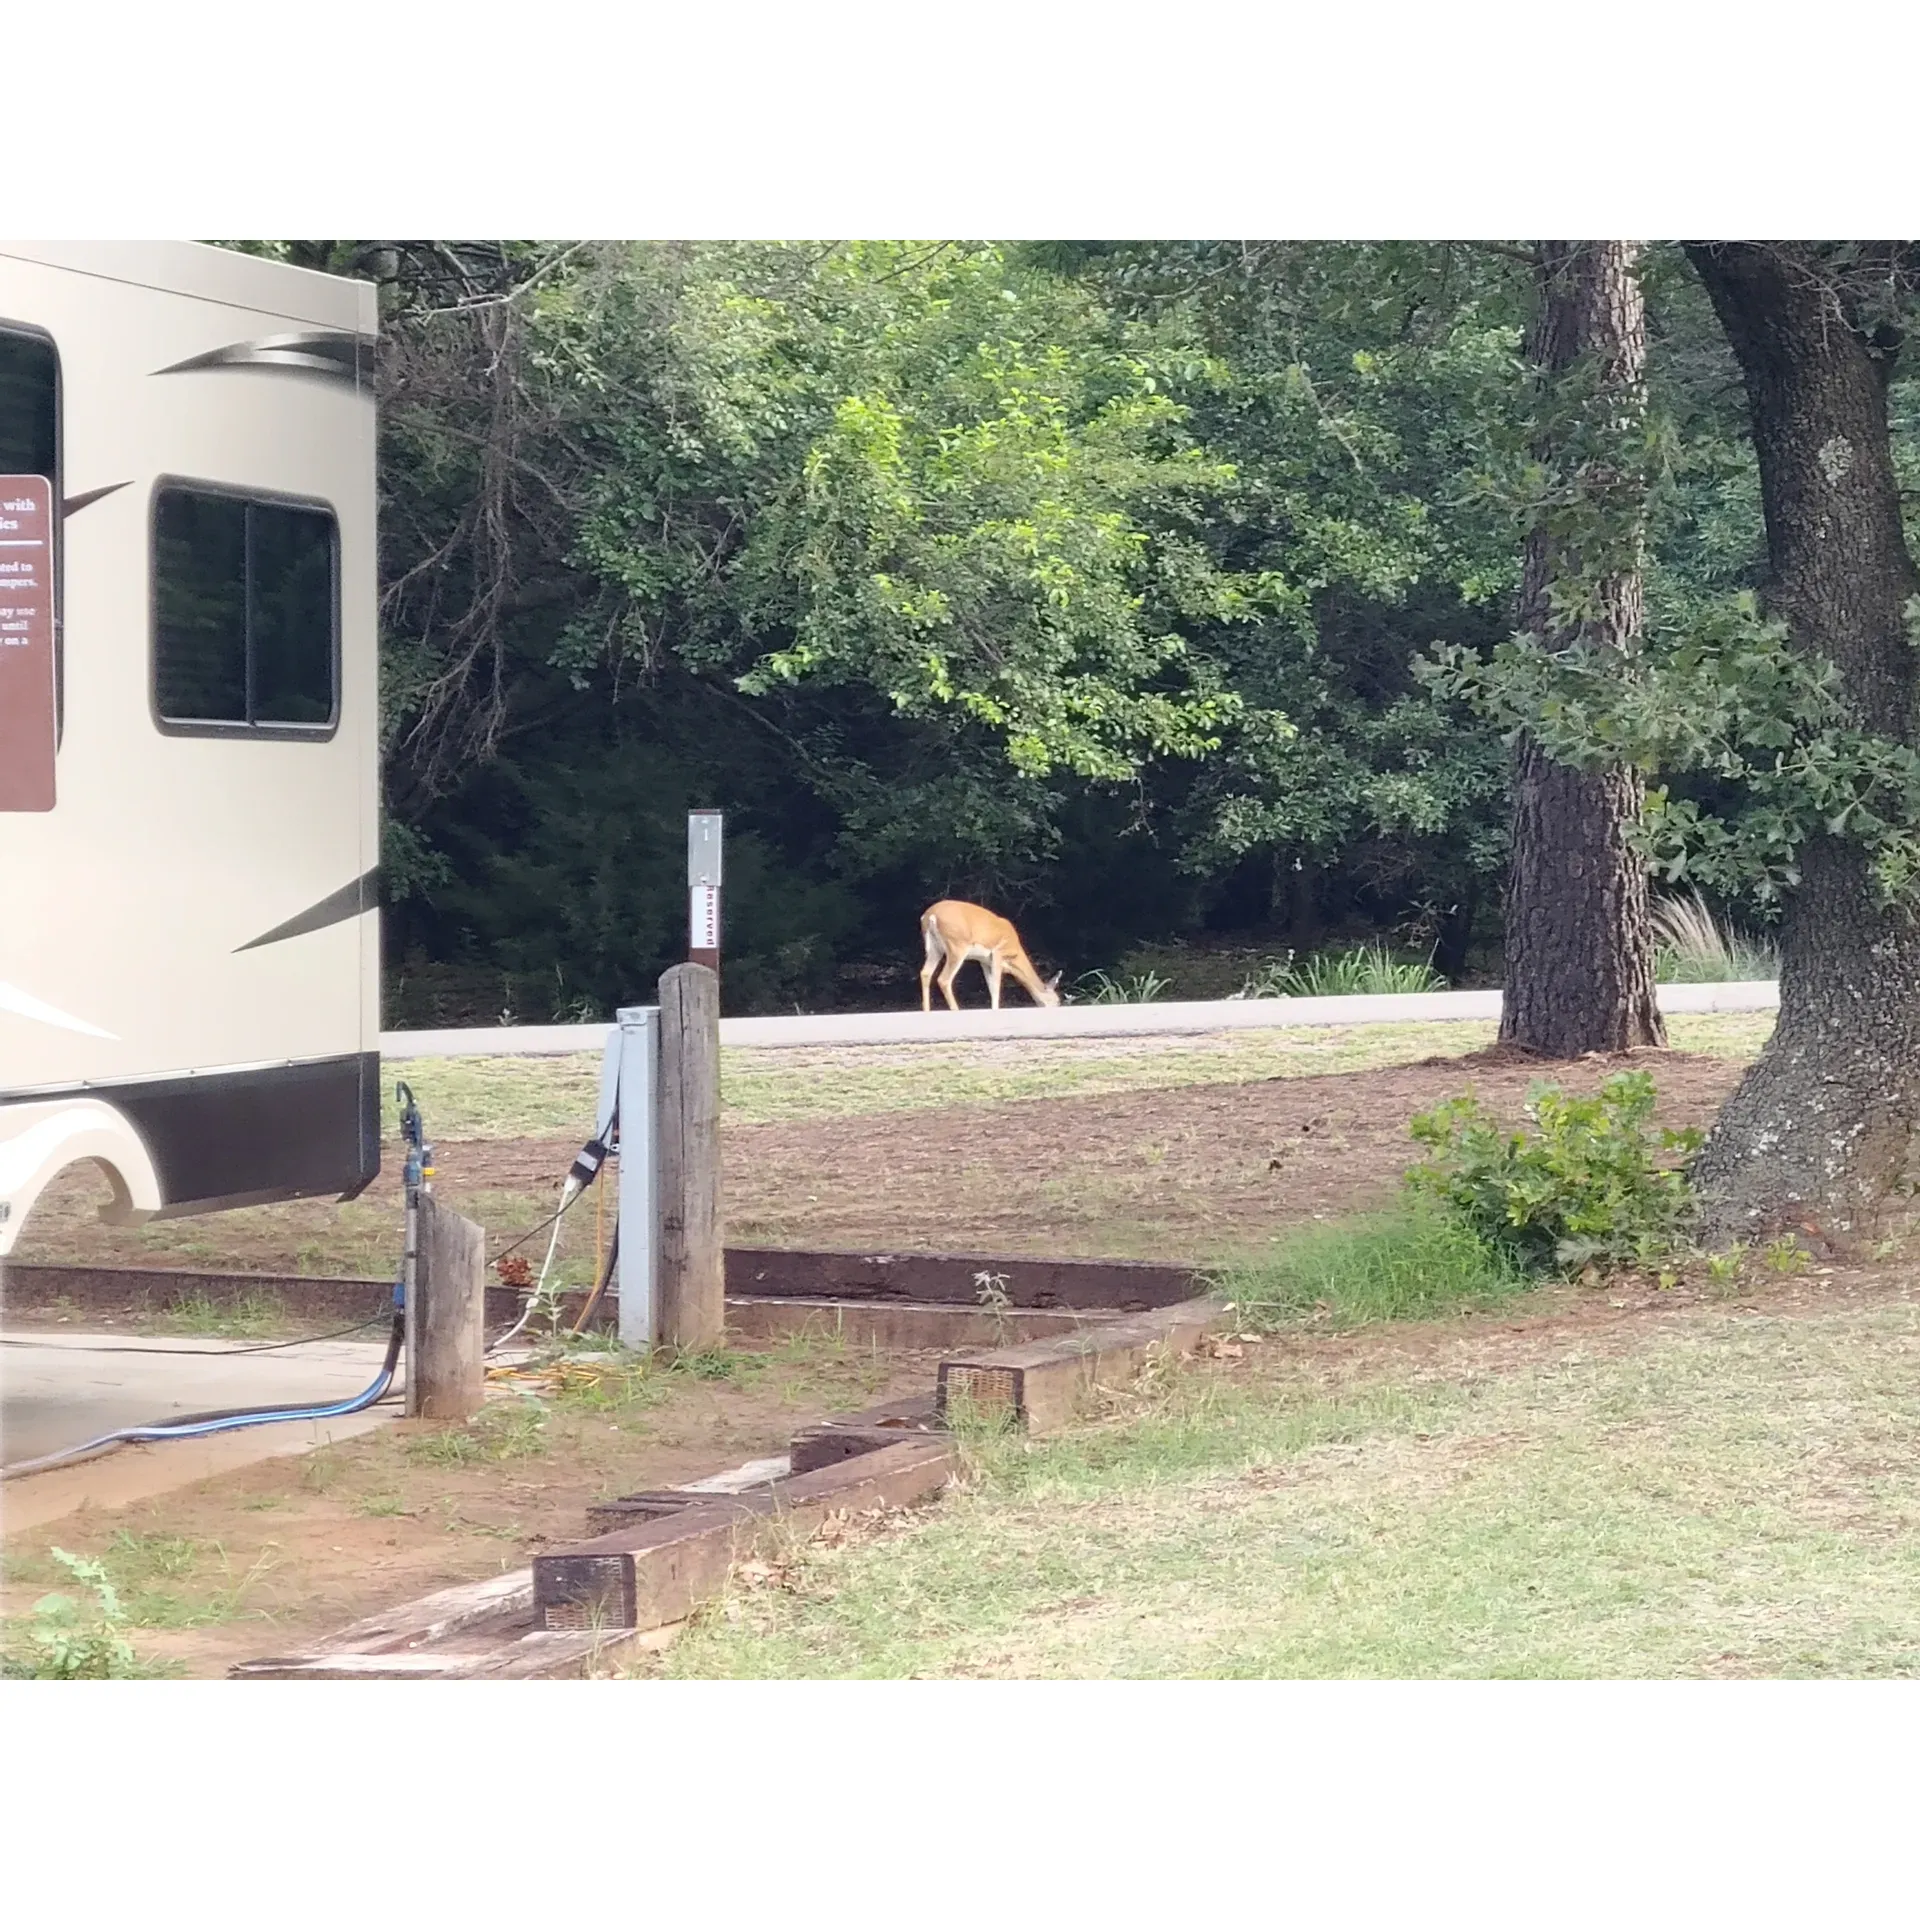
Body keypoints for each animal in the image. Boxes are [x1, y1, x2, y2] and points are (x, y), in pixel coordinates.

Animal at [917, 902, 1067, 1013]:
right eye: (1058, 1001)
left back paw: (926, 1011)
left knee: (925, 973)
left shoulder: (984, 961)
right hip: (957, 945)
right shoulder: (998, 953)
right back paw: (956, 1010)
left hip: (934, 948)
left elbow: (990, 985)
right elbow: (995, 987)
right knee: (944, 979)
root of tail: (931, 915)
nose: (1057, 1008)